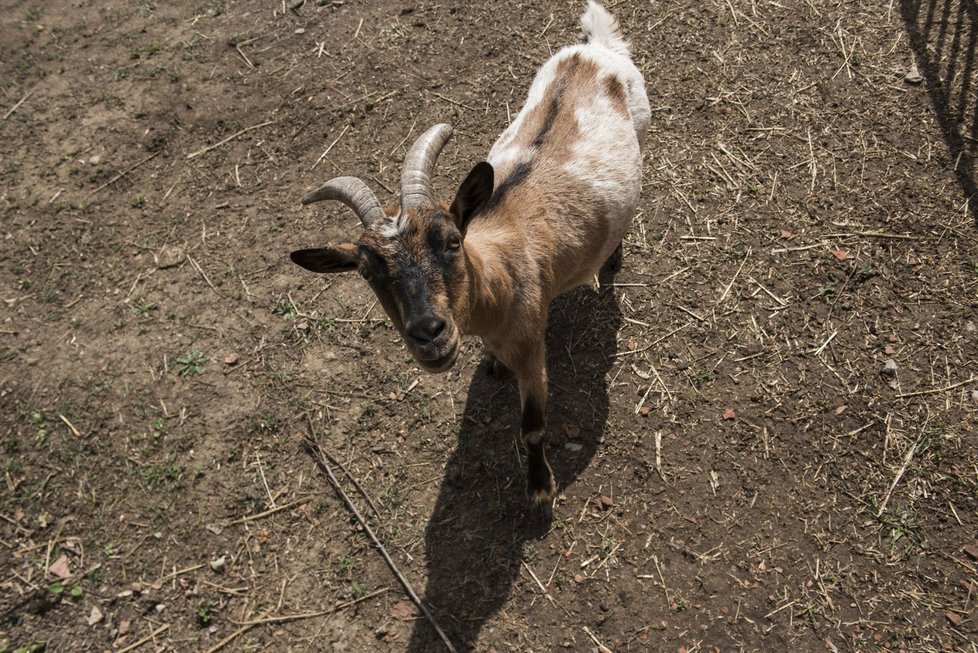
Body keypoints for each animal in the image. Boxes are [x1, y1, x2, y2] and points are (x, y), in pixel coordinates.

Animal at [290, 1, 648, 504]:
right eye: (365, 271)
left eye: (451, 240)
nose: (429, 334)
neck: (500, 275)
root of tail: (592, 50)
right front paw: (492, 364)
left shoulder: (532, 348)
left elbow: (533, 428)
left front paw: (540, 490)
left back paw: (612, 258)